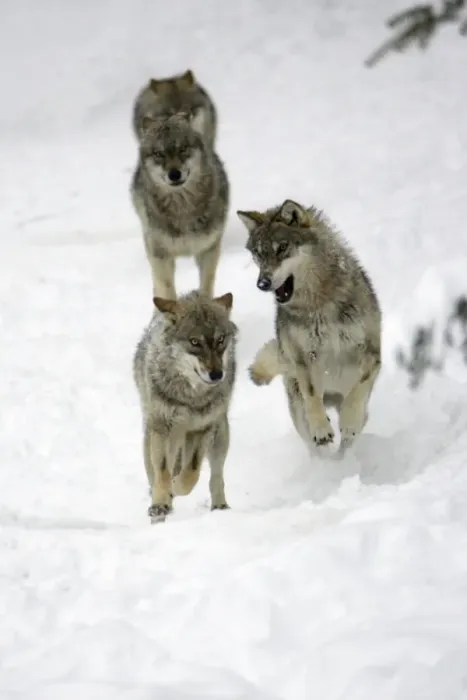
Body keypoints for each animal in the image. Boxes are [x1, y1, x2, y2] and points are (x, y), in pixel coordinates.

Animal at [130, 111, 229, 300]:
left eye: (182, 148)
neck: (182, 209)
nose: (174, 174)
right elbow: (167, 291)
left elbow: (206, 286)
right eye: (159, 154)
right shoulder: (160, 256)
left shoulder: (208, 250)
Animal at [132, 290, 238, 522]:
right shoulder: (162, 429)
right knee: (155, 474)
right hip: (152, 438)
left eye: (220, 340)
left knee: (216, 477)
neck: (190, 398)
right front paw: (161, 503)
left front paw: (175, 488)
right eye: (195, 342)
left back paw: (220, 507)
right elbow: (163, 473)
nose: (217, 374)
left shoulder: (201, 430)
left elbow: (191, 474)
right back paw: (159, 511)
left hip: (220, 436)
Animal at [237, 199, 381, 453]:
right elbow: (312, 394)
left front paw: (348, 422)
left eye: (282, 248)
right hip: (297, 407)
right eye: (258, 255)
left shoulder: (372, 353)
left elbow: (359, 388)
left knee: (350, 436)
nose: (262, 283)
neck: (319, 304)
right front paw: (321, 430)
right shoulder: (303, 358)